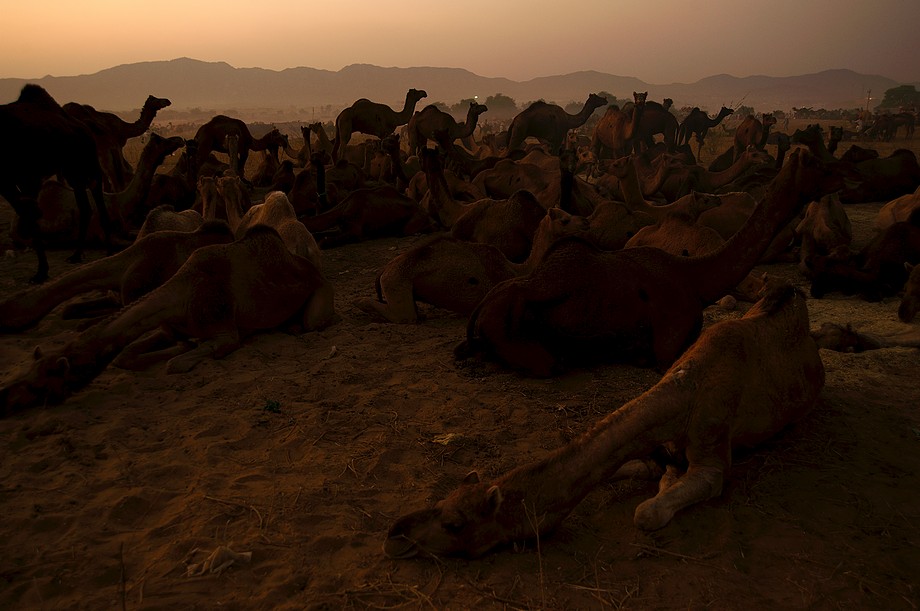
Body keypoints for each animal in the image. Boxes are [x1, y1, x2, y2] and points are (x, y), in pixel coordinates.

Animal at [0, 84, 112, 284]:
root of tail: (84, 128)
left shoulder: (29, 176)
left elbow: (32, 213)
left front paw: (41, 272)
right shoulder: (7, 181)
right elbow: (28, 211)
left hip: (86, 162)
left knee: (96, 191)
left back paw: (110, 250)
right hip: (71, 170)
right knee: (85, 205)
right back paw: (77, 254)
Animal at [354, 207, 589, 323]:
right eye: (565, 220)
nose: (586, 222)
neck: (518, 269)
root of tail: (383, 271)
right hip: (397, 281)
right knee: (405, 316)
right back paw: (363, 305)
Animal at [385, 282, 823, 558]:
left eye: (455, 524)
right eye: (441, 500)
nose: (394, 535)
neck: (686, 391)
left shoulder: (712, 447)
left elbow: (651, 510)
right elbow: (649, 467)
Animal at [454, 149, 839, 376]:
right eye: (817, 166)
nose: (842, 176)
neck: (695, 278)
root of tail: (483, 307)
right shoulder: (668, 344)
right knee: (549, 360)